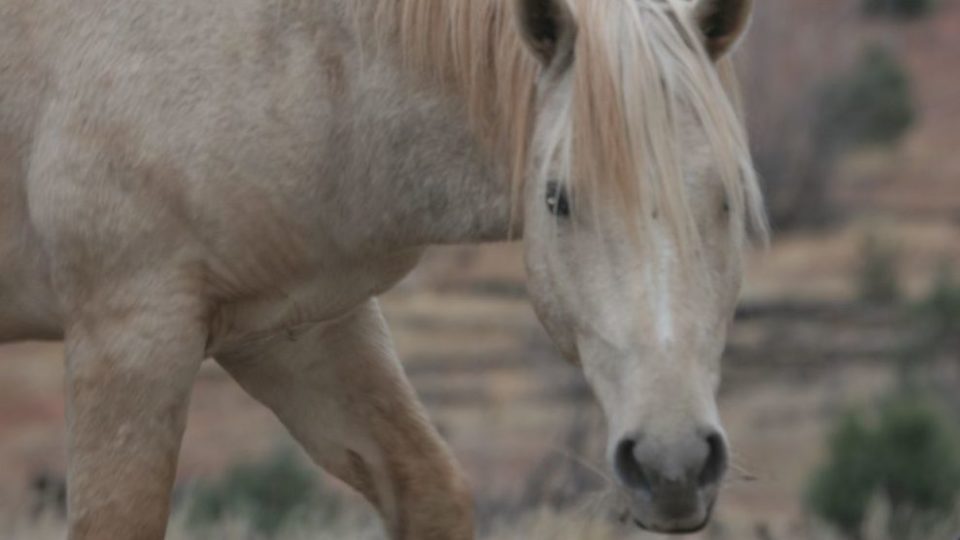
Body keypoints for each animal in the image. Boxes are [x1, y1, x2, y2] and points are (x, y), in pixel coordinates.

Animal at [0, 0, 767, 537]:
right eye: (557, 199)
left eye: (730, 195)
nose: (674, 464)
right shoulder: (131, 336)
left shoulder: (296, 331)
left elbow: (431, 492)